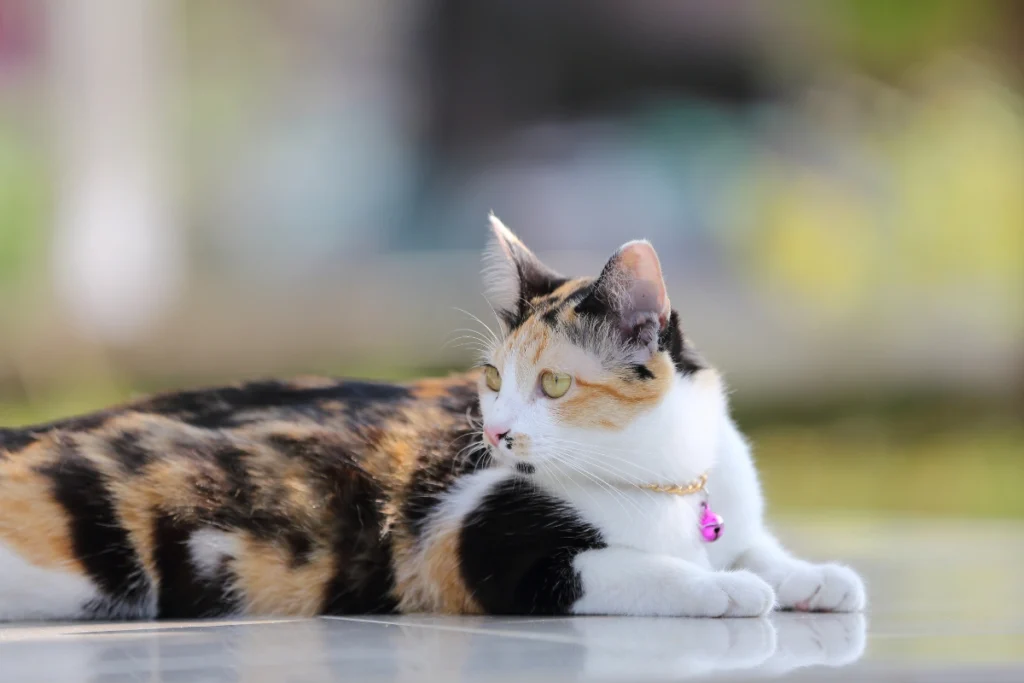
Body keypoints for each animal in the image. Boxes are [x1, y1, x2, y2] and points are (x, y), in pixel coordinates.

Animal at [0, 216, 864, 622]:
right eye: (491, 377)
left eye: (553, 382)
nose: (496, 433)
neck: (662, 477)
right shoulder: (477, 545)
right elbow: (635, 567)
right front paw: (721, 588)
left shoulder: (731, 511)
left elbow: (758, 547)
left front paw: (815, 576)